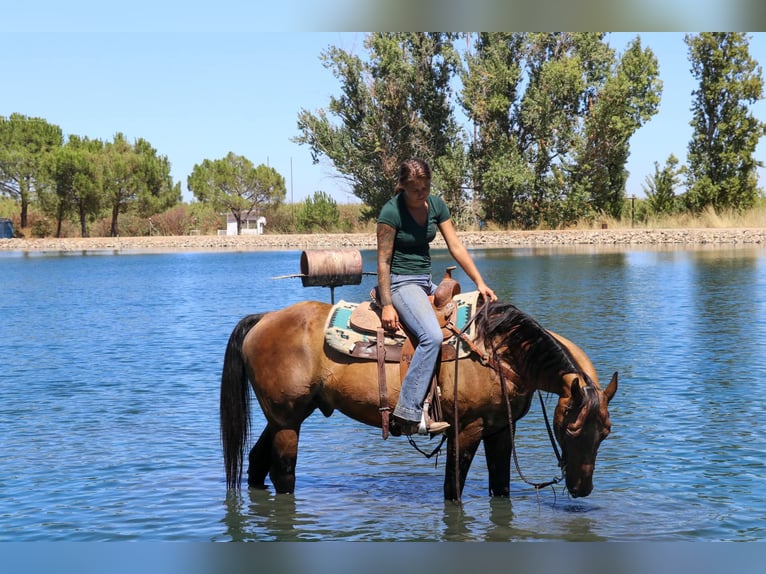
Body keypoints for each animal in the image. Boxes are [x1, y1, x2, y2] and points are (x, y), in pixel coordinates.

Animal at [220, 298, 618, 501]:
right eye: (571, 430)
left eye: (605, 434)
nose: (582, 489)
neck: (498, 351)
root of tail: (265, 318)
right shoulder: (466, 429)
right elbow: (453, 490)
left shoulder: (500, 429)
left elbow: (501, 487)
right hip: (287, 422)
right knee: (281, 472)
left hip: (282, 418)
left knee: (256, 463)